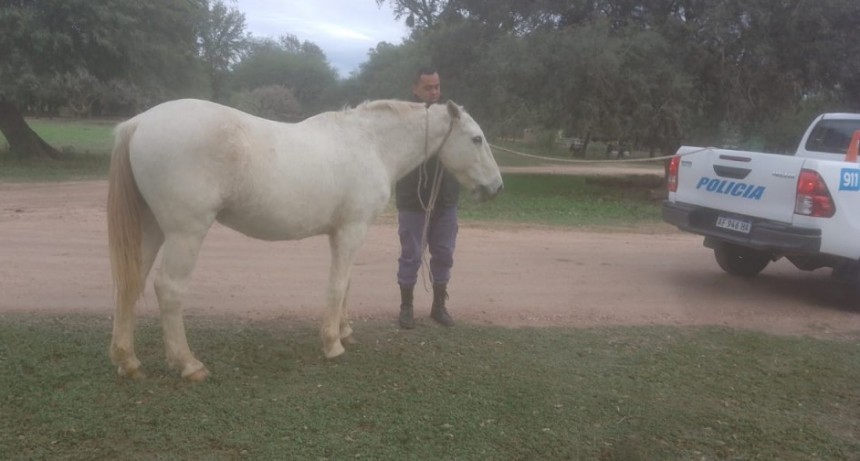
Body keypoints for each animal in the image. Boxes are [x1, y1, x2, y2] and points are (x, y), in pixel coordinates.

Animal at [107, 98, 503, 381]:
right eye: (476, 138)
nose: (496, 187)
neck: (371, 144)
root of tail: (139, 122)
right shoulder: (351, 230)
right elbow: (337, 285)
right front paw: (332, 344)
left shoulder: (343, 233)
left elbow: (346, 285)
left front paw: (344, 332)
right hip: (186, 232)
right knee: (169, 289)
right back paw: (189, 364)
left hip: (153, 228)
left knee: (131, 282)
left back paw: (129, 361)